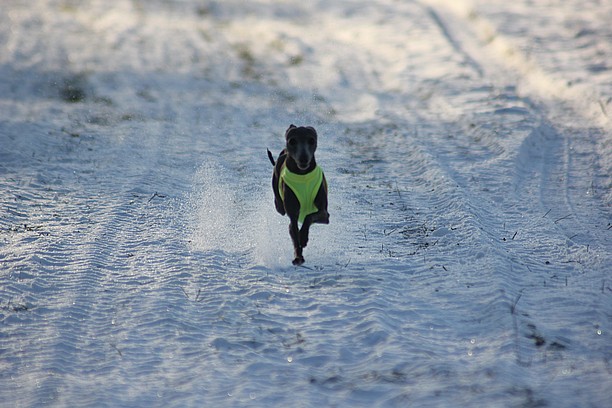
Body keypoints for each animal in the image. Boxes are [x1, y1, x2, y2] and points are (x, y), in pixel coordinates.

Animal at [268, 125, 330, 264]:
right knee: (281, 209)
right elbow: (295, 233)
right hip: (279, 204)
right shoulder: (293, 216)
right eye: (292, 141)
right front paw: (298, 257)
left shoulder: (325, 215)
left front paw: (304, 237)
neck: (303, 176)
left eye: (311, 140)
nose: (303, 158)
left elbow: (309, 217)